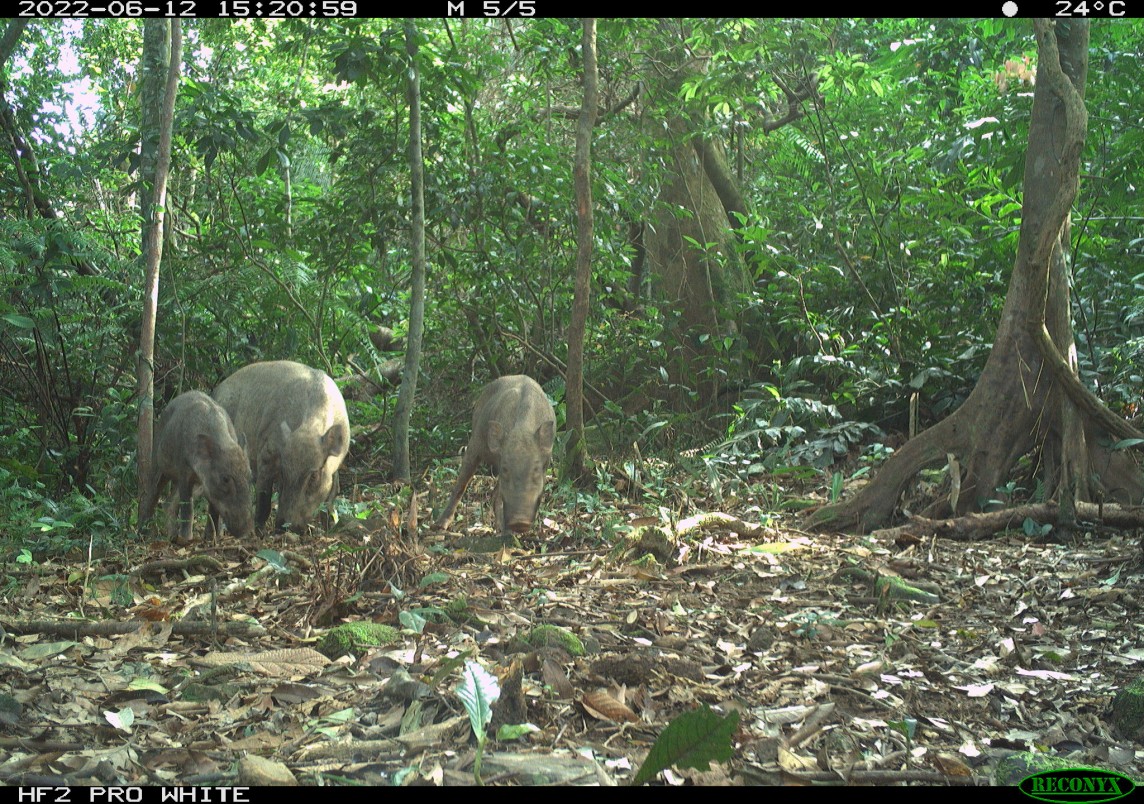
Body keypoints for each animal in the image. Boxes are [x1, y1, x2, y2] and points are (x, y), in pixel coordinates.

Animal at [139, 391, 253, 546]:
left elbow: (213, 509)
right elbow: (188, 507)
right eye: (225, 479)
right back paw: (142, 536)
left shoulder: (205, 485)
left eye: (249, 476)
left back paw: (172, 537)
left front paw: (210, 538)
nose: (246, 532)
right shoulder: (183, 472)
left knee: (168, 503)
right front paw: (186, 540)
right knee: (152, 497)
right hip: (158, 466)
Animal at [211, 361, 347, 530]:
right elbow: (264, 498)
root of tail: (216, 391)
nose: (284, 526)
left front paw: (330, 527)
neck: (309, 430)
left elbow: (332, 494)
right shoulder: (266, 453)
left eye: (314, 475)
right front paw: (259, 532)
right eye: (283, 471)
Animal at [432, 375, 553, 537]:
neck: (521, 431)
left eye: (536, 470)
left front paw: (509, 535)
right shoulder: (475, 444)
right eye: (505, 469)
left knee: (495, 494)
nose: (520, 522)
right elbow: (460, 485)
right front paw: (438, 526)